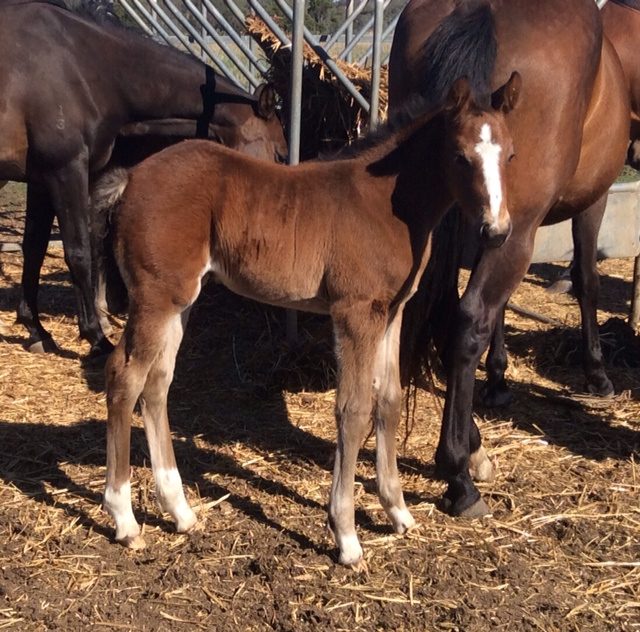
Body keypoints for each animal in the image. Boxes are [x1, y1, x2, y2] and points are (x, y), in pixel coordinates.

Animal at [0, 1, 286, 356]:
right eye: (280, 154)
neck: (81, 68)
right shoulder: (66, 171)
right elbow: (79, 253)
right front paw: (97, 336)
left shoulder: (42, 179)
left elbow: (35, 247)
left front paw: (37, 330)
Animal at [92, 75, 520, 569]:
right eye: (460, 155)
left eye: (510, 156)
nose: (496, 231)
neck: (386, 204)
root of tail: (131, 178)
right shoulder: (355, 313)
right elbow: (353, 410)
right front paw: (347, 535)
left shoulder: (391, 313)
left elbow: (389, 401)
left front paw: (398, 512)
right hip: (156, 297)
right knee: (124, 376)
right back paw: (124, 519)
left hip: (181, 301)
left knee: (158, 382)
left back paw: (180, 511)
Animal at [388, 0, 629, 517]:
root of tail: (479, 10)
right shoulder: (589, 203)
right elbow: (587, 278)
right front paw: (596, 372)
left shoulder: (490, 223)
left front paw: (497, 379)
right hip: (520, 229)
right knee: (467, 320)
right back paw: (459, 475)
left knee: (448, 314)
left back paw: (474, 448)